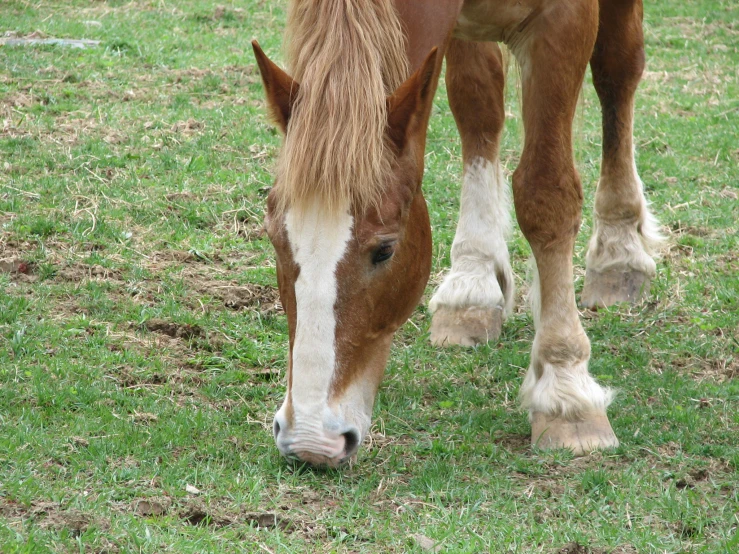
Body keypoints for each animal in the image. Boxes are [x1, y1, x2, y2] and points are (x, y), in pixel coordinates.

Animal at [251, 0, 660, 466]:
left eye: (385, 250)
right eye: (274, 239)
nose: (311, 442)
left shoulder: (564, 22)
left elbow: (546, 191)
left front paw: (566, 389)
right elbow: (476, 103)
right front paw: (472, 282)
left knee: (618, 68)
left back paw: (619, 250)